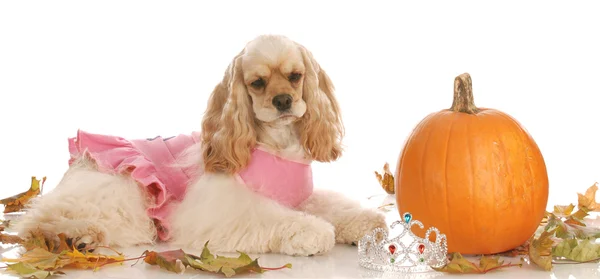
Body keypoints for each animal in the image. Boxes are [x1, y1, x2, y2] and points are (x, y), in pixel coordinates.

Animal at [16, 35, 390, 258]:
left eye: (296, 76)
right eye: (257, 83)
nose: (283, 101)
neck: (277, 144)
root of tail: (77, 163)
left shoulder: (299, 195)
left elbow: (336, 205)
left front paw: (365, 222)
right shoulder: (224, 208)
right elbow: (277, 218)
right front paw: (314, 232)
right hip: (120, 189)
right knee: (43, 219)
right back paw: (75, 236)